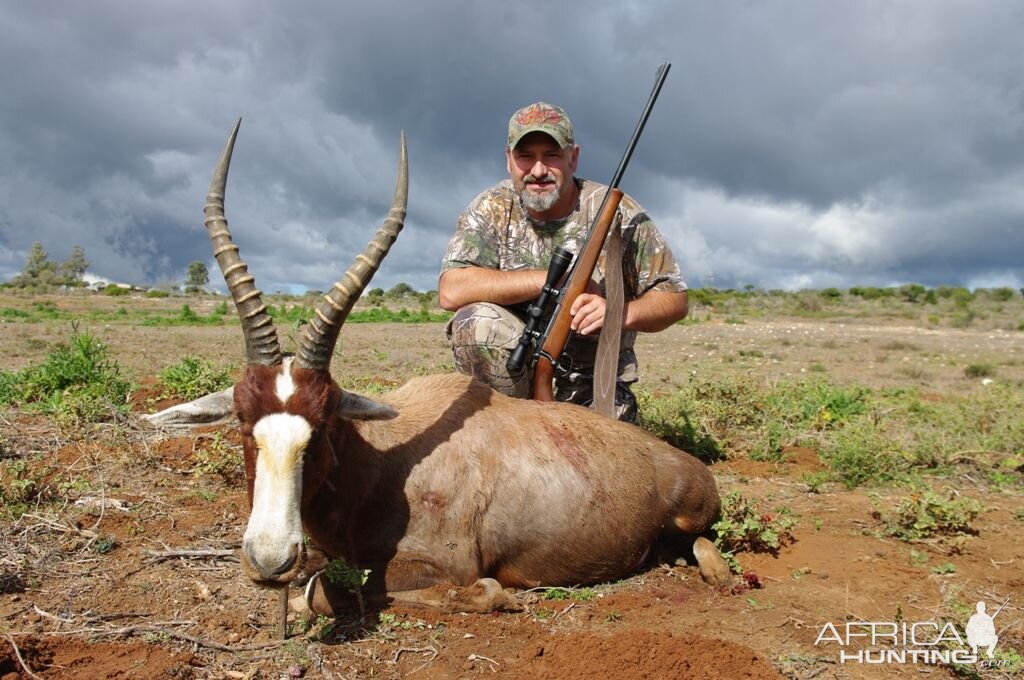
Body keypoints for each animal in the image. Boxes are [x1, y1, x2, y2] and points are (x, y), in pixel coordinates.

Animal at [148, 122, 733, 614]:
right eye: (243, 422)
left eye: (323, 424)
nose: (270, 560)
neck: (384, 460)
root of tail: (670, 456)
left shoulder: (443, 565)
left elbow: (335, 592)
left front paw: (495, 596)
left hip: (692, 514)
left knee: (705, 545)